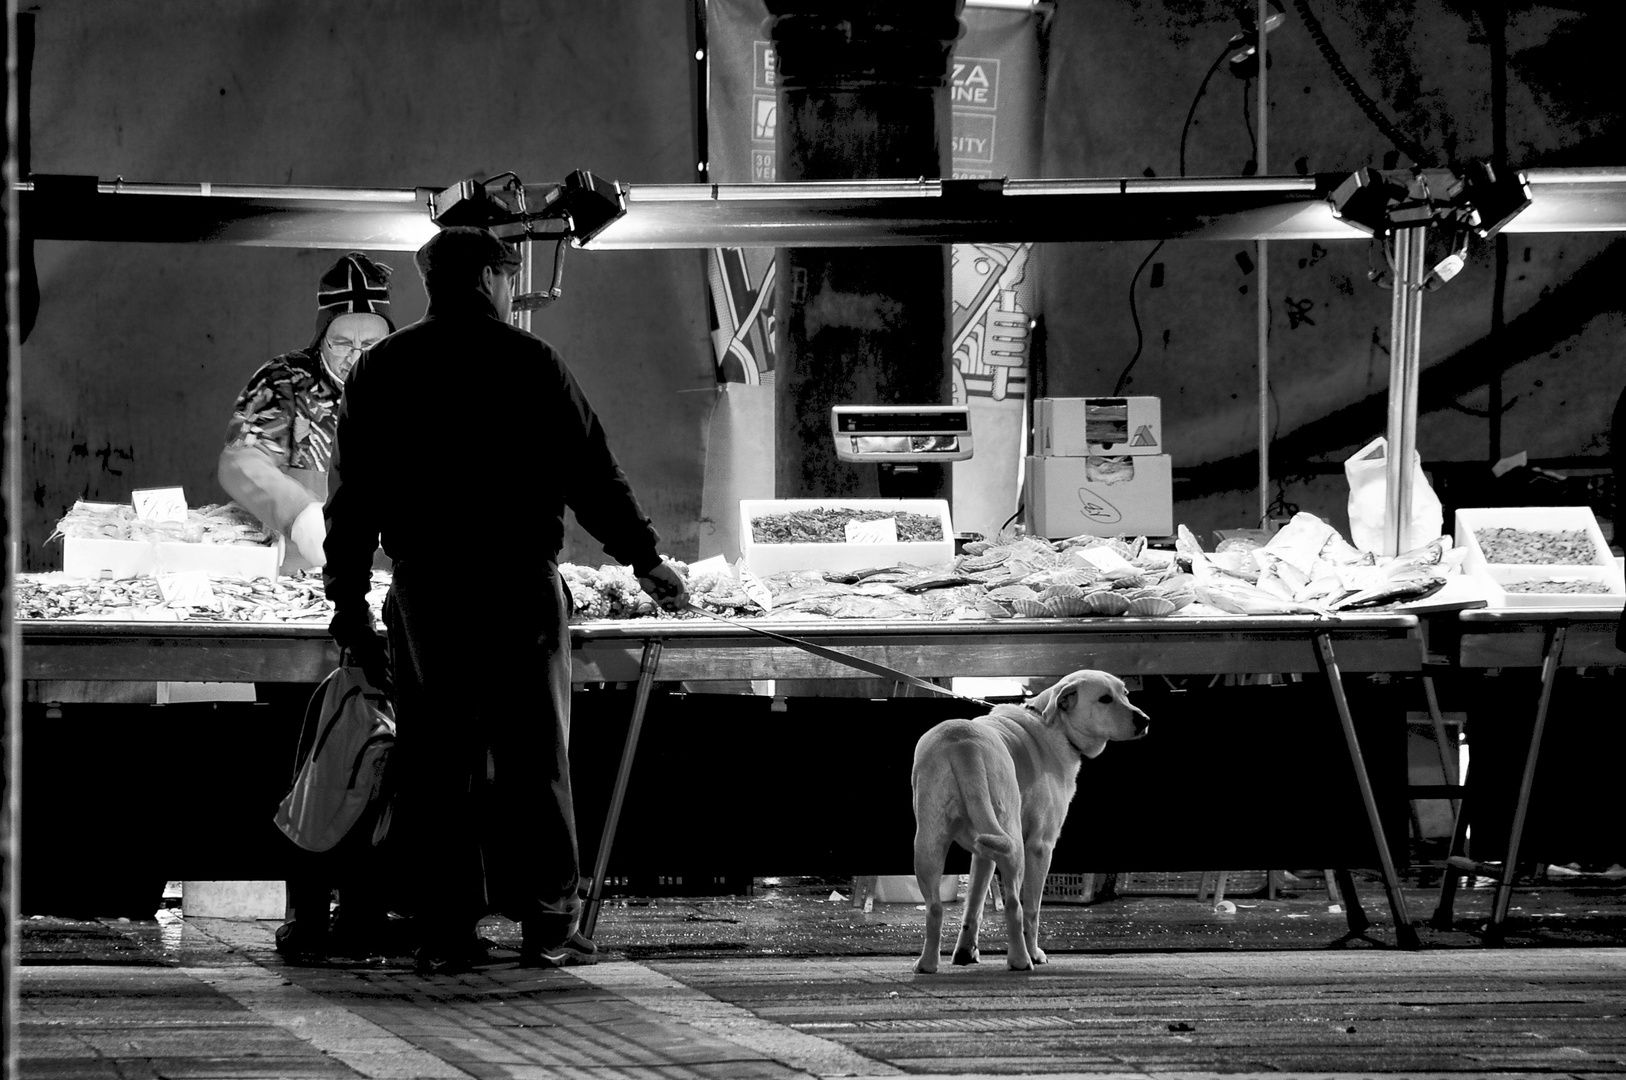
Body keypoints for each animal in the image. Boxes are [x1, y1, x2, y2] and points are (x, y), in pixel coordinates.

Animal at [910, 670, 1151, 975]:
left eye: (1125, 694)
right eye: (1105, 699)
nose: (1144, 720)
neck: (1054, 725)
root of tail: (963, 743)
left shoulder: (983, 855)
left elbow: (974, 905)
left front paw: (965, 952)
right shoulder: (1041, 846)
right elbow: (1032, 910)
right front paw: (1035, 953)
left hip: (928, 845)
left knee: (935, 908)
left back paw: (927, 963)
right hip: (1014, 846)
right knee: (1014, 905)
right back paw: (1021, 959)